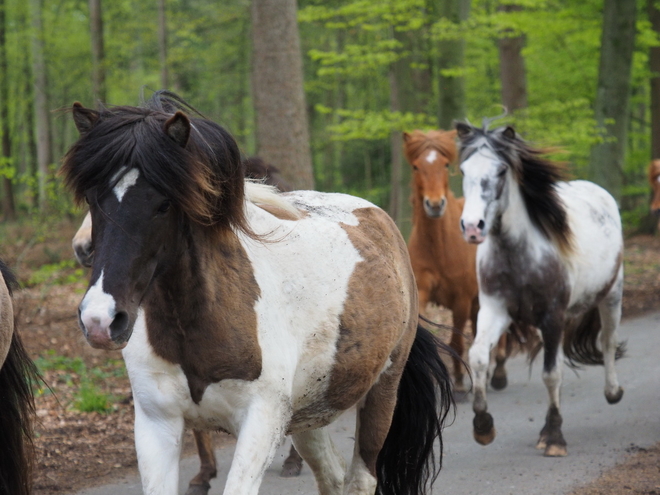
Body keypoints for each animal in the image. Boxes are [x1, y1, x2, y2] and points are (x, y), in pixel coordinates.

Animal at [62, 91, 454, 494]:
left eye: (164, 203)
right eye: (92, 198)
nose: (100, 320)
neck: (200, 322)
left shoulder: (261, 422)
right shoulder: (157, 426)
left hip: (381, 392)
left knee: (359, 477)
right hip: (309, 412)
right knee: (331, 475)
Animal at [402, 130, 510, 398]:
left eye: (445, 164)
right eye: (416, 166)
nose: (435, 204)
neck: (440, 245)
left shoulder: (460, 300)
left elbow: (457, 342)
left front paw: (460, 384)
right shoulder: (423, 292)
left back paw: (499, 373)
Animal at [456, 120, 628, 458]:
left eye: (501, 171)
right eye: (463, 169)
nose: (472, 227)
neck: (519, 255)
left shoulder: (552, 317)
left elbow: (551, 374)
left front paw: (553, 437)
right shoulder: (495, 310)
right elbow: (479, 355)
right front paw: (483, 426)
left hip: (611, 295)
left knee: (607, 341)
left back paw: (613, 392)